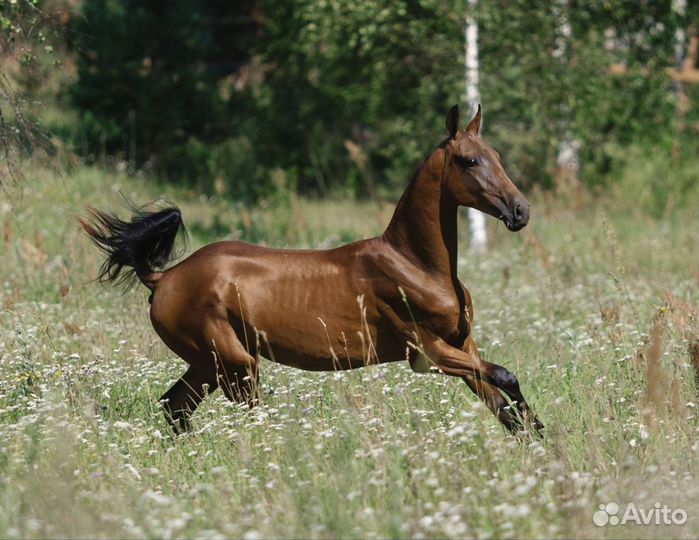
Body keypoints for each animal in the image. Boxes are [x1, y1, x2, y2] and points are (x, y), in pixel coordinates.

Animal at [79, 104, 544, 434]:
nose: (521, 211)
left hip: (209, 364)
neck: (415, 264)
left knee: (174, 408)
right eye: (469, 161)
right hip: (235, 366)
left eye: (495, 155)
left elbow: (505, 405)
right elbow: (507, 378)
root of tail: (163, 277)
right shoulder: (427, 353)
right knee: (240, 419)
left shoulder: (464, 346)